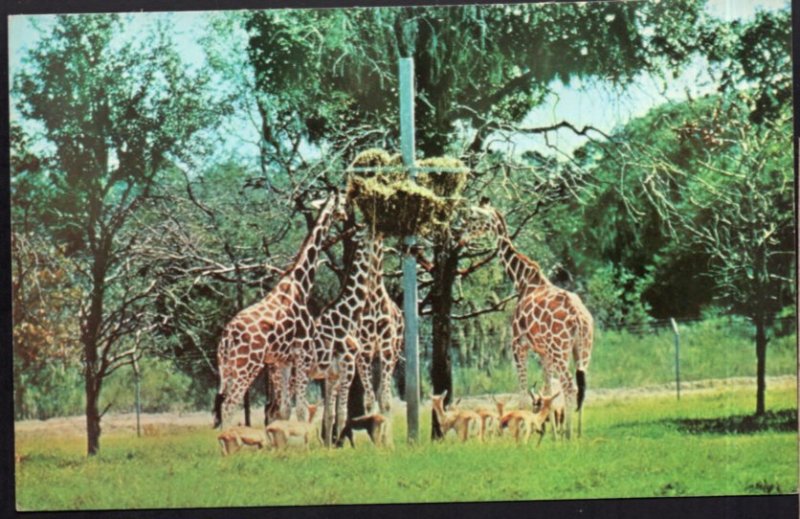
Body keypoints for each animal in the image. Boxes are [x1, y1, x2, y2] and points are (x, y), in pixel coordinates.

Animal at [212, 193, 346, 428]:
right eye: (342, 204)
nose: (346, 216)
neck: (301, 287)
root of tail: (227, 337)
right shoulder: (303, 354)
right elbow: (300, 410)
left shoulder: (283, 360)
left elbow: (284, 410)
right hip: (247, 365)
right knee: (229, 406)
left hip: (226, 367)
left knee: (224, 406)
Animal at [462, 203, 592, 438]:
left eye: (473, 217)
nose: (461, 237)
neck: (522, 280)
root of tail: (579, 318)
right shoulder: (543, 352)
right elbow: (547, 391)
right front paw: (550, 433)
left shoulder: (518, 345)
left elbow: (523, 392)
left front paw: (522, 429)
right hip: (582, 349)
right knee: (581, 385)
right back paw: (577, 434)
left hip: (560, 350)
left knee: (569, 385)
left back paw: (569, 435)